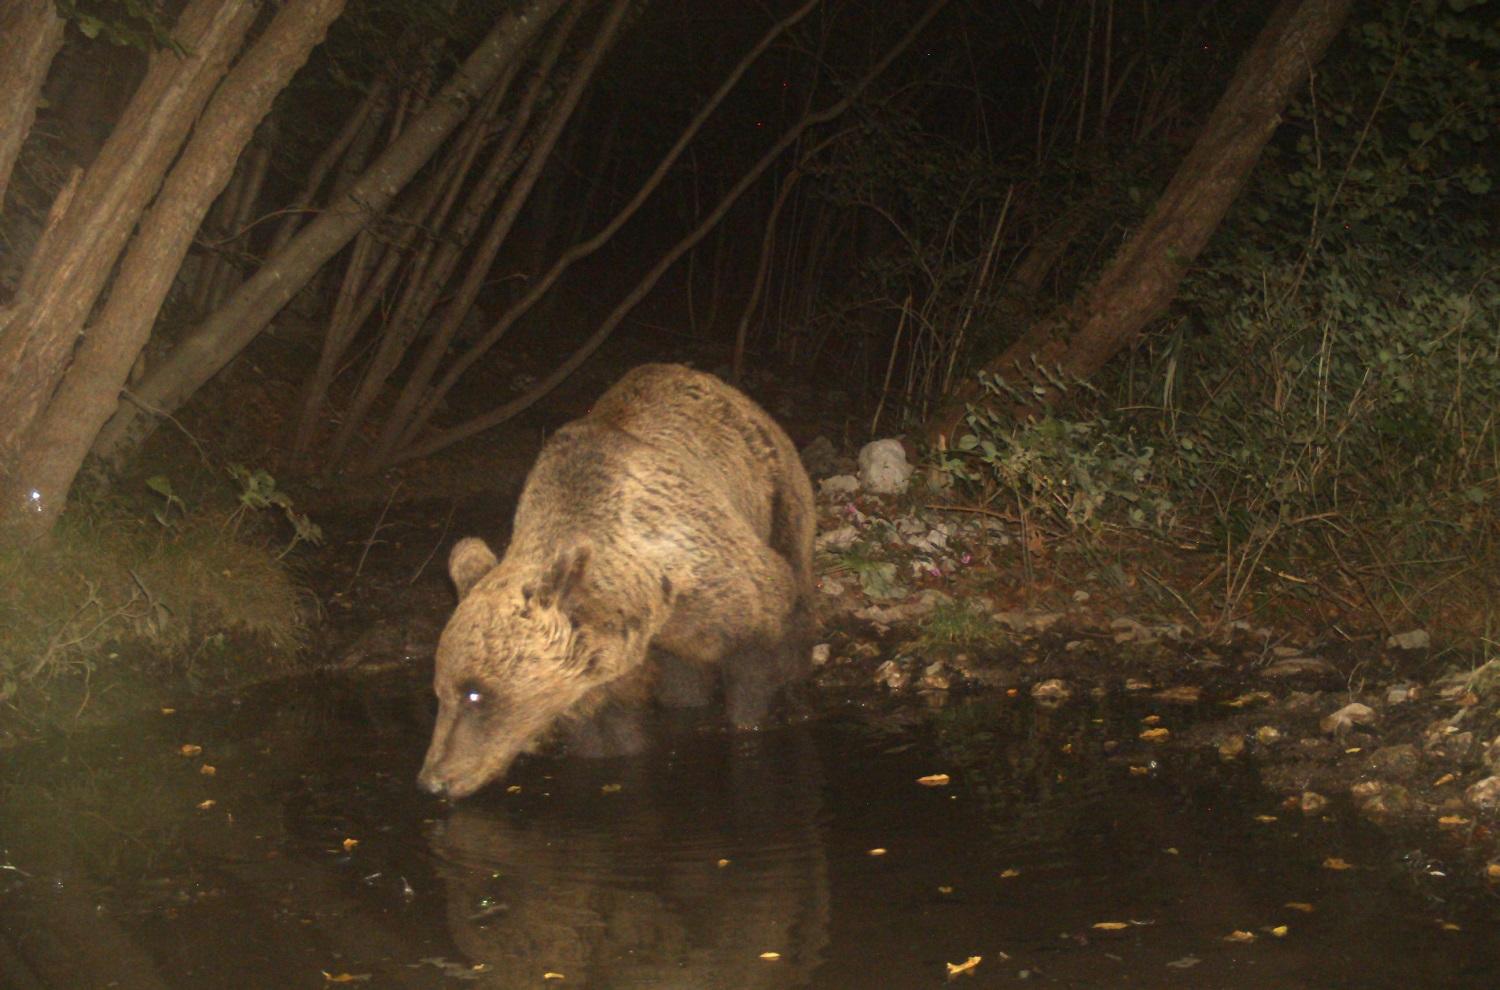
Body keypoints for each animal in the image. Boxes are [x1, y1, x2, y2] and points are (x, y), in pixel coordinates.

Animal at [420, 363, 822, 798]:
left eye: (475, 693)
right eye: (438, 690)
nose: (433, 781)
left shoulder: (725, 588)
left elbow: (756, 666)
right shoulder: (599, 673)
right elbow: (613, 736)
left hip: (779, 493)